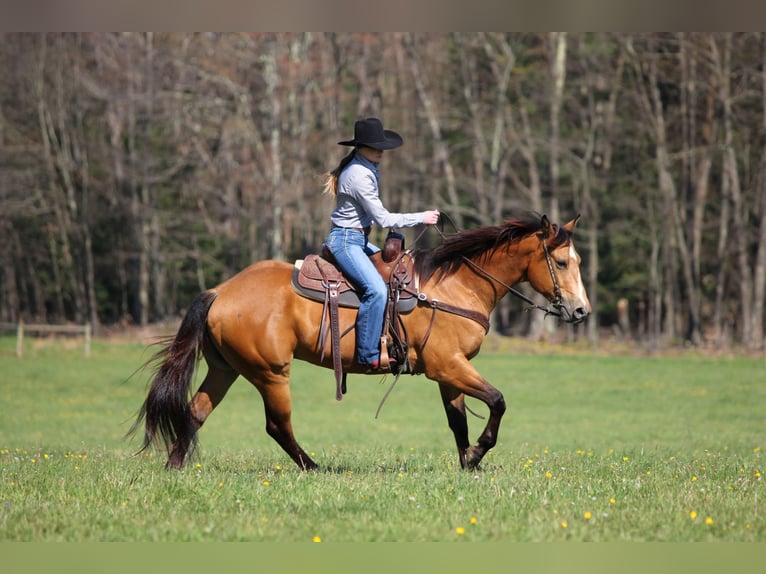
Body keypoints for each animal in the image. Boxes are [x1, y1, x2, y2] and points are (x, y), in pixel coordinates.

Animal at [132, 213, 590, 471]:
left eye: (579, 261)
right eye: (562, 261)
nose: (581, 311)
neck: (454, 287)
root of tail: (220, 291)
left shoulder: (449, 370)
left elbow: (458, 419)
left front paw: (467, 464)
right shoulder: (448, 365)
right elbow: (497, 400)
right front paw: (478, 454)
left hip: (226, 369)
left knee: (195, 412)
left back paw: (174, 469)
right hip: (270, 373)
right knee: (277, 425)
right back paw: (314, 467)